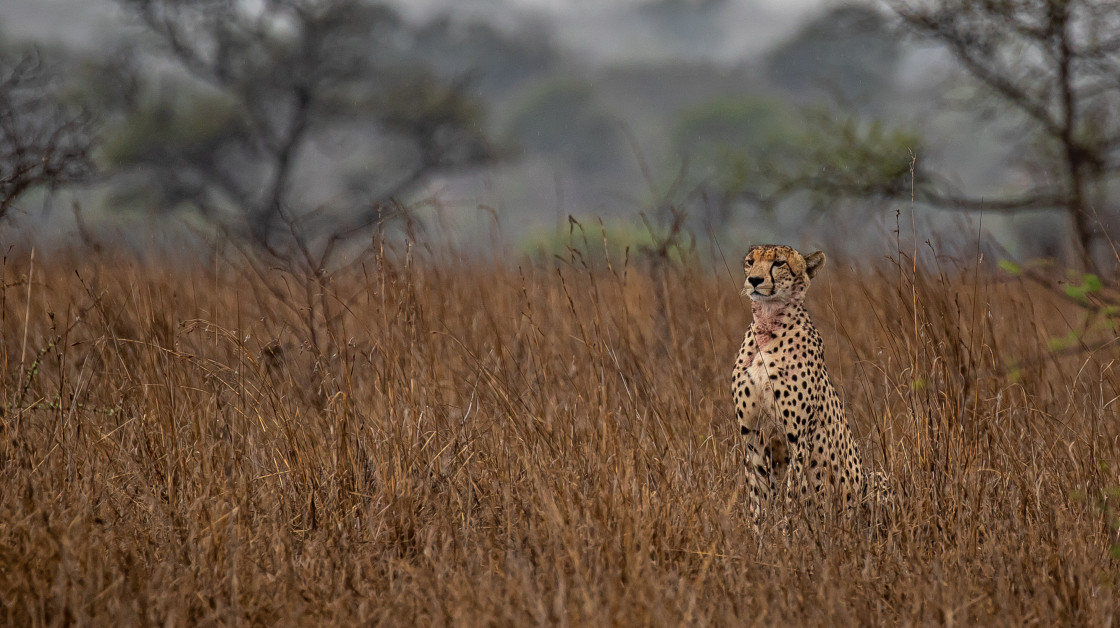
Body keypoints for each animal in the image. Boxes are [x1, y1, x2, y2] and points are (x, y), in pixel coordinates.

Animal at [730, 244, 887, 519]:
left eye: (779, 263)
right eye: (750, 261)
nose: (755, 280)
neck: (767, 327)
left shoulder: (798, 439)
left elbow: (792, 496)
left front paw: (788, 529)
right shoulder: (751, 435)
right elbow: (758, 497)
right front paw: (758, 530)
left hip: (875, 479)